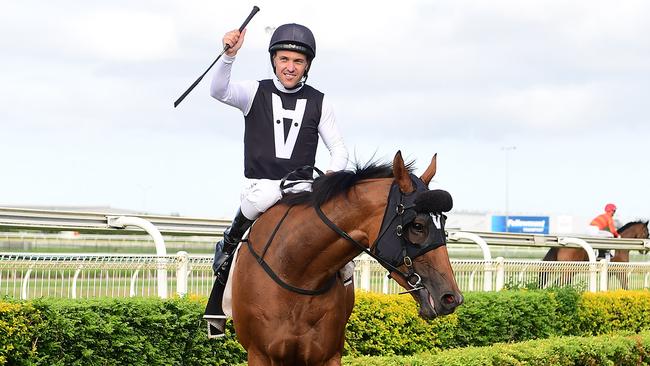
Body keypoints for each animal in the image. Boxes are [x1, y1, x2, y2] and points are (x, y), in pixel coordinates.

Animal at [228, 150, 460, 364]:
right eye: (418, 226)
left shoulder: (328, 355)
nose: (451, 298)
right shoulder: (260, 354)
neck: (296, 272)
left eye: (443, 222)